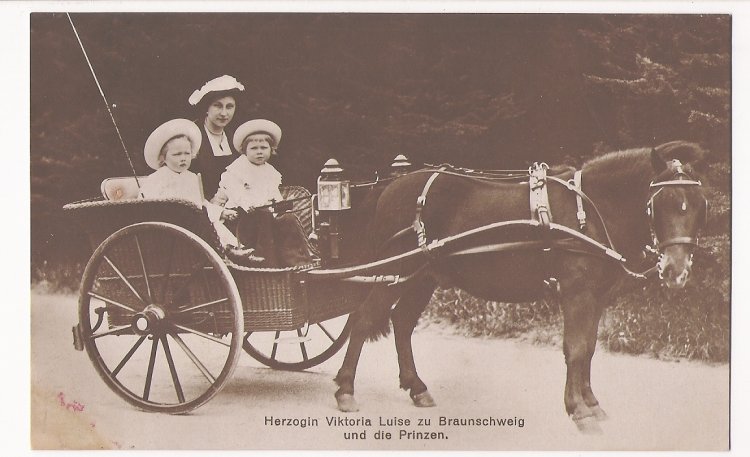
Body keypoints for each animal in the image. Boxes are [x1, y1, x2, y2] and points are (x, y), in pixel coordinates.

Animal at [330, 140, 708, 432]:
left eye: (698, 205)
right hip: (395, 270)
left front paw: (591, 402)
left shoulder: (596, 298)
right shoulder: (576, 293)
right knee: (363, 320)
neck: (589, 211)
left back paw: (416, 387)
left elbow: (589, 348)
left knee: (402, 322)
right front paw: (578, 410)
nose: (676, 271)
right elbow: (575, 348)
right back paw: (346, 389)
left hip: (423, 277)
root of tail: (392, 185)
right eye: (661, 202)